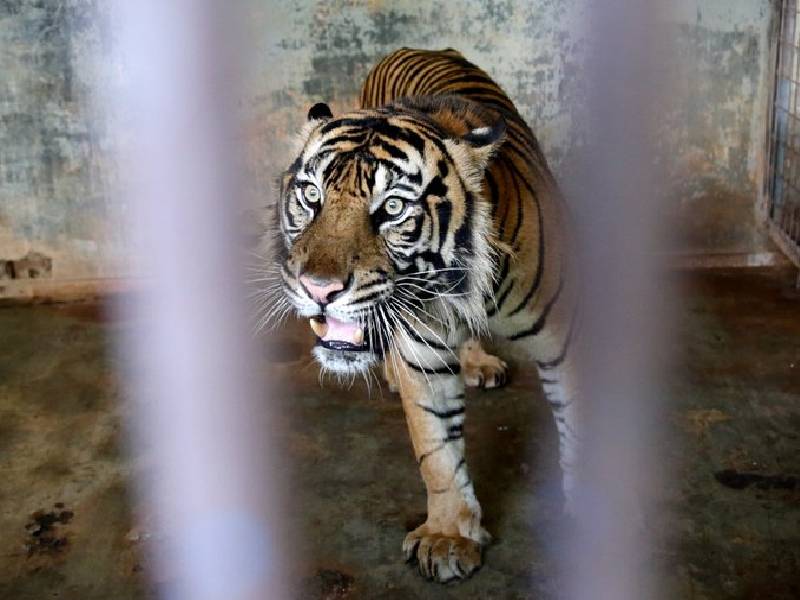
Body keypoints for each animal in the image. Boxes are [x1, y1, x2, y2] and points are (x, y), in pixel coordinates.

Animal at [264, 48, 579, 582]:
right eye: (311, 196)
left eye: (392, 208)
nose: (318, 288)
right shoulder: (424, 357)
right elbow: (437, 451)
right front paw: (450, 536)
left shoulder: (569, 342)